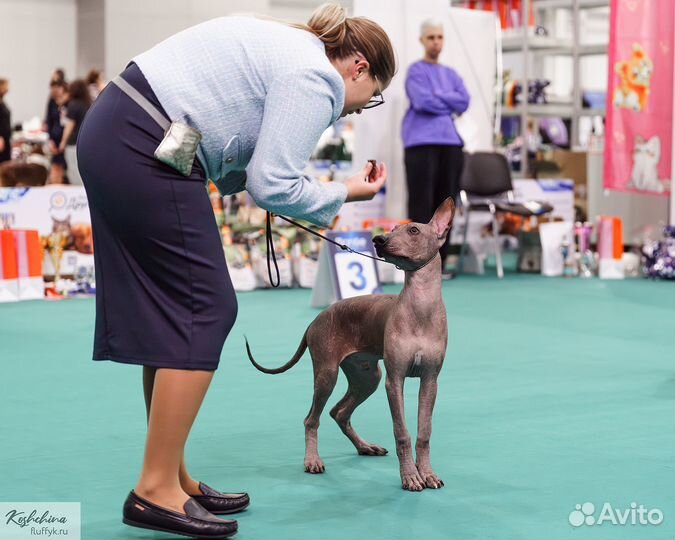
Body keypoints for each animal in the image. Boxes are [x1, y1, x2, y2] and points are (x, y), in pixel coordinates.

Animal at [246, 197, 456, 490]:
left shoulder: (430, 381)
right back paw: (312, 460)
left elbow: (424, 433)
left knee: (339, 412)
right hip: (328, 374)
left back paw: (365, 447)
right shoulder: (394, 381)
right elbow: (401, 432)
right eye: (392, 229)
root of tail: (315, 321)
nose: (379, 239)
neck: (420, 308)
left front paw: (427, 473)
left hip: (367, 377)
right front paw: (410, 476)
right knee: (312, 419)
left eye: (413, 230)